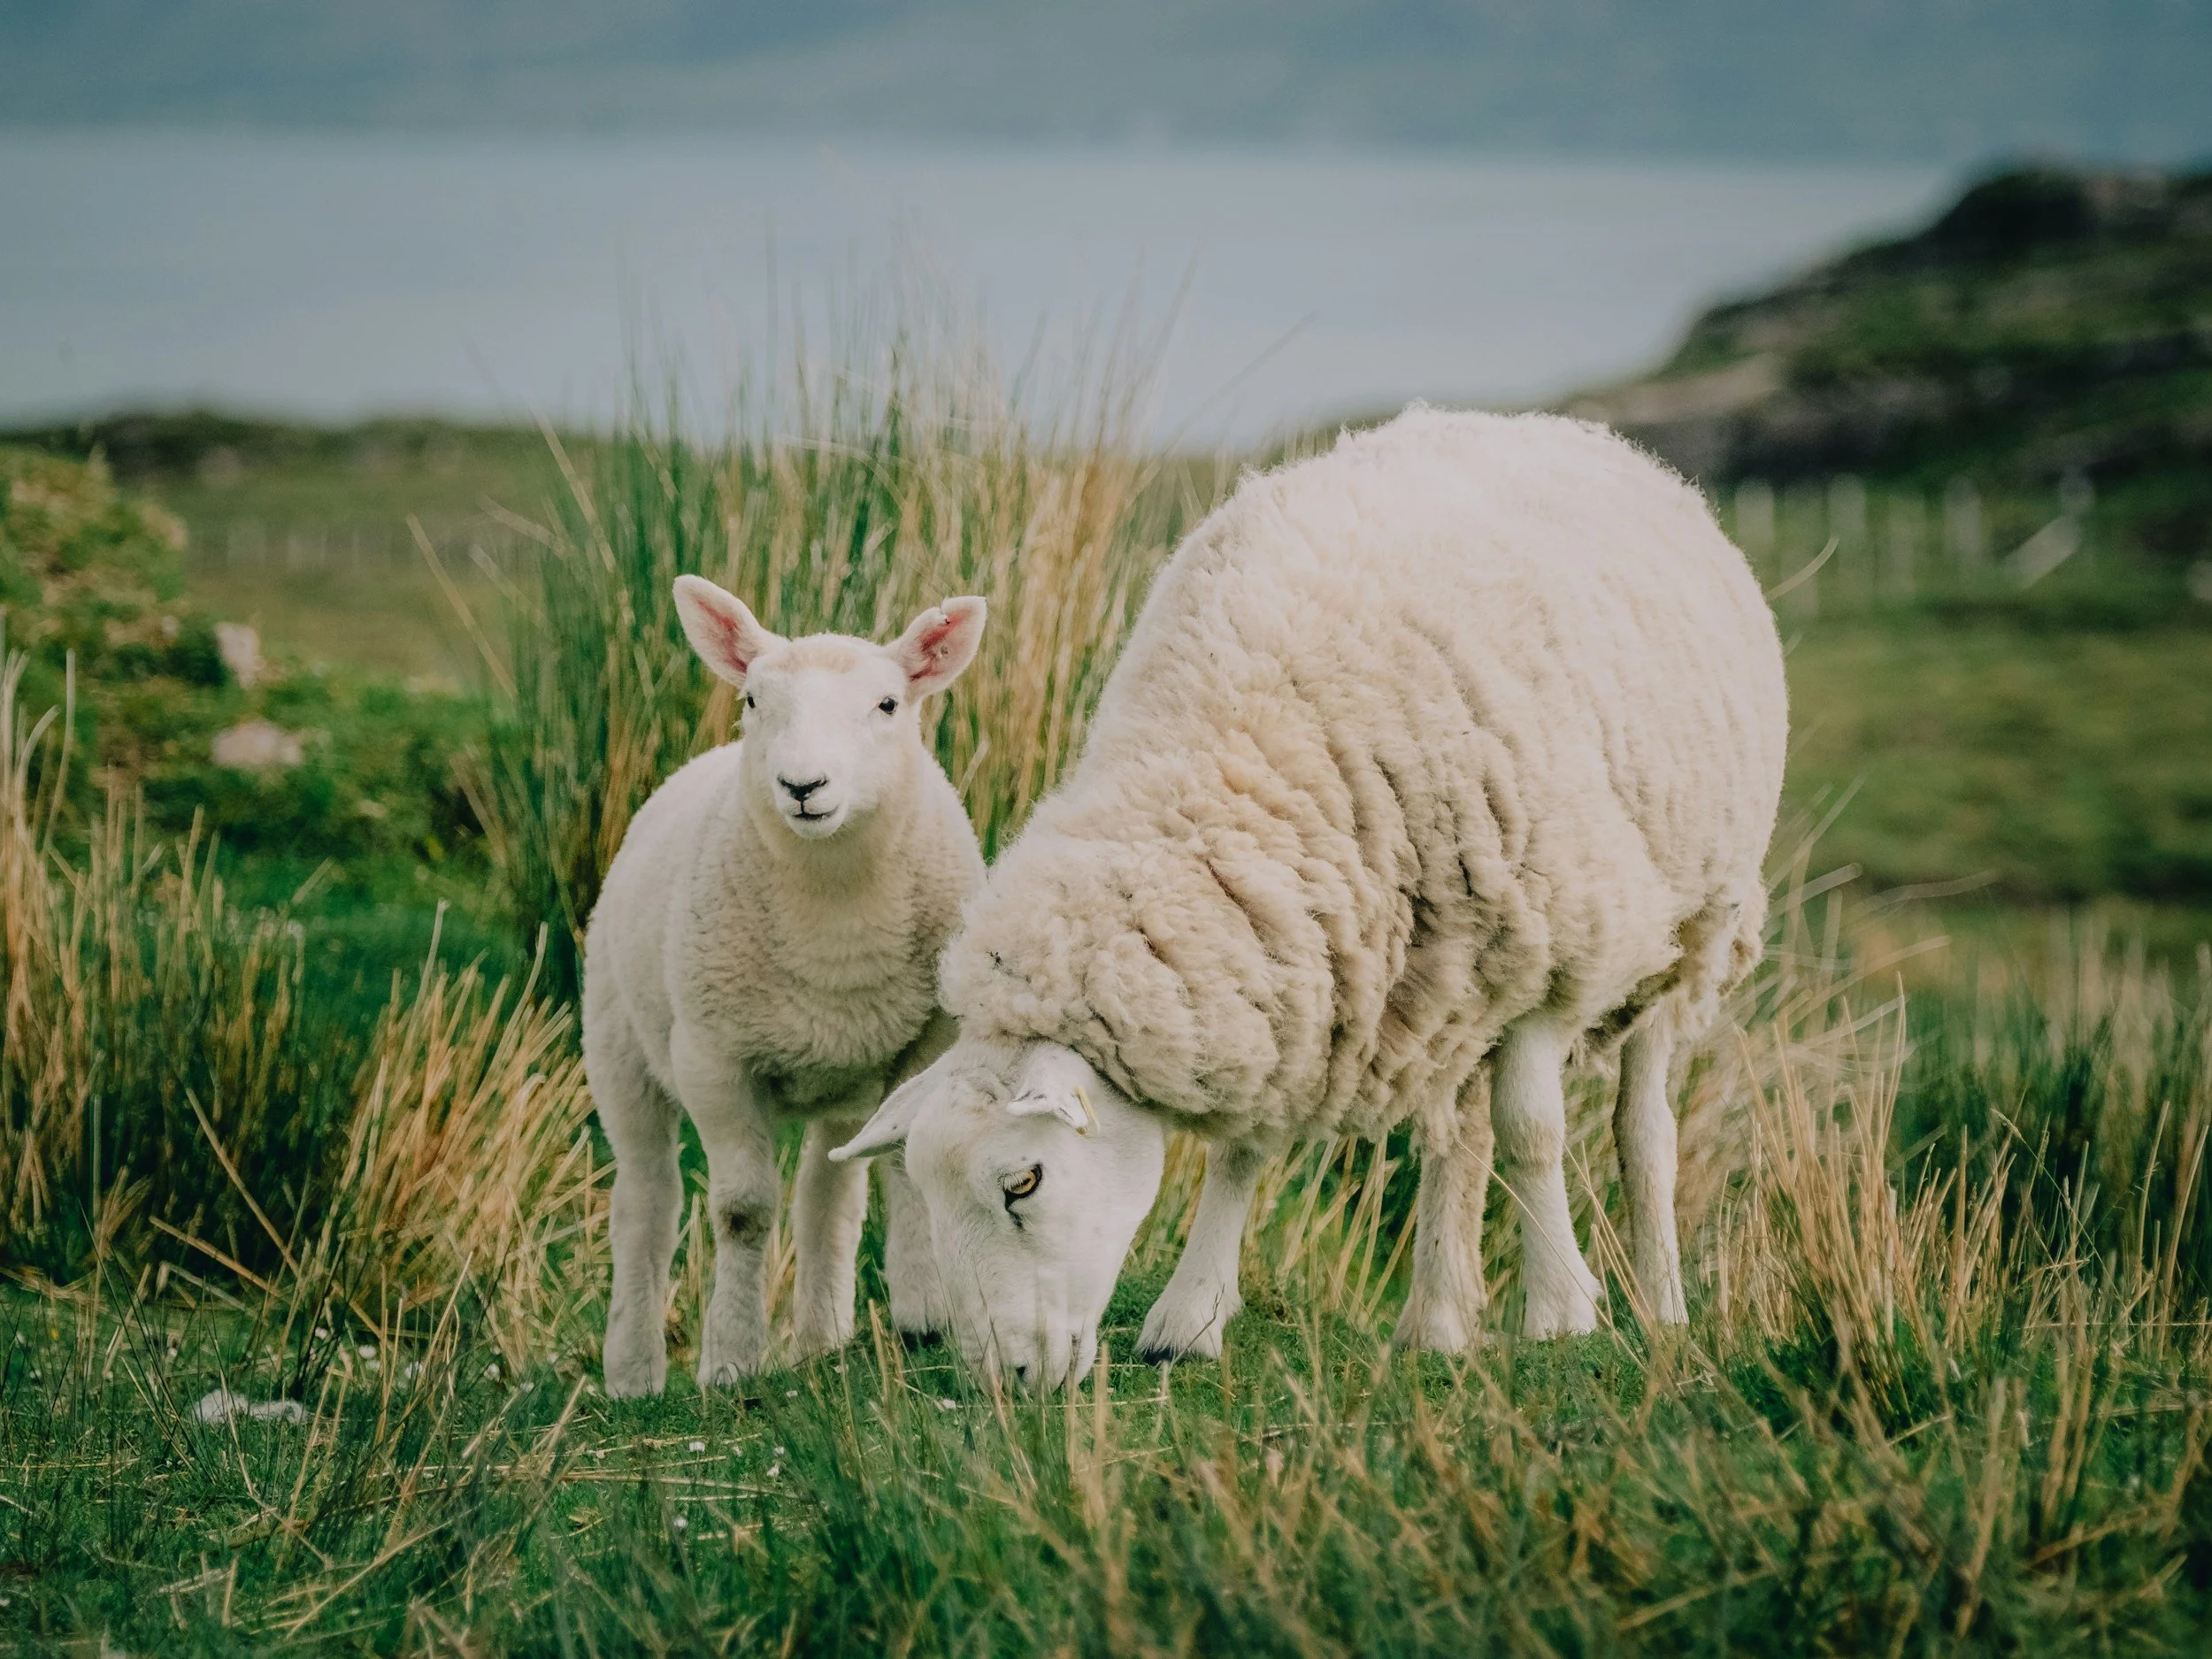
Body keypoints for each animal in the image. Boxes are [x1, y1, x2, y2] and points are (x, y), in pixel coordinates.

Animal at [587, 576, 988, 1396]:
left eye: (887, 704)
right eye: (752, 700)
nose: (803, 785)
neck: (835, 913)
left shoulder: (929, 1044)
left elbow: (903, 1167)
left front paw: (925, 1315)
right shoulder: (713, 1060)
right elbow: (742, 1210)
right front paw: (731, 1359)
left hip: (845, 1082)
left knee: (827, 1197)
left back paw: (820, 1340)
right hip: (618, 1048)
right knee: (646, 1201)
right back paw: (634, 1373)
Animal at [831, 407, 1788, 1391]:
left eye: (1025, 1180)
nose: (1003, 1380)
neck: (1234, 750)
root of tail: (1561, 427)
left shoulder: (1557, 944)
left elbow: (1533, 1131)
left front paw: (1561, 1312)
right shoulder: (1289, 959)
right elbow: (1242, 1152)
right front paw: (1189, 1317)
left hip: (1690, 930)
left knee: (1642, 1129)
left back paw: (1658, 1304)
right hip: (1459, 974)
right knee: (1456, 1135)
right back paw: (1436, 1319)